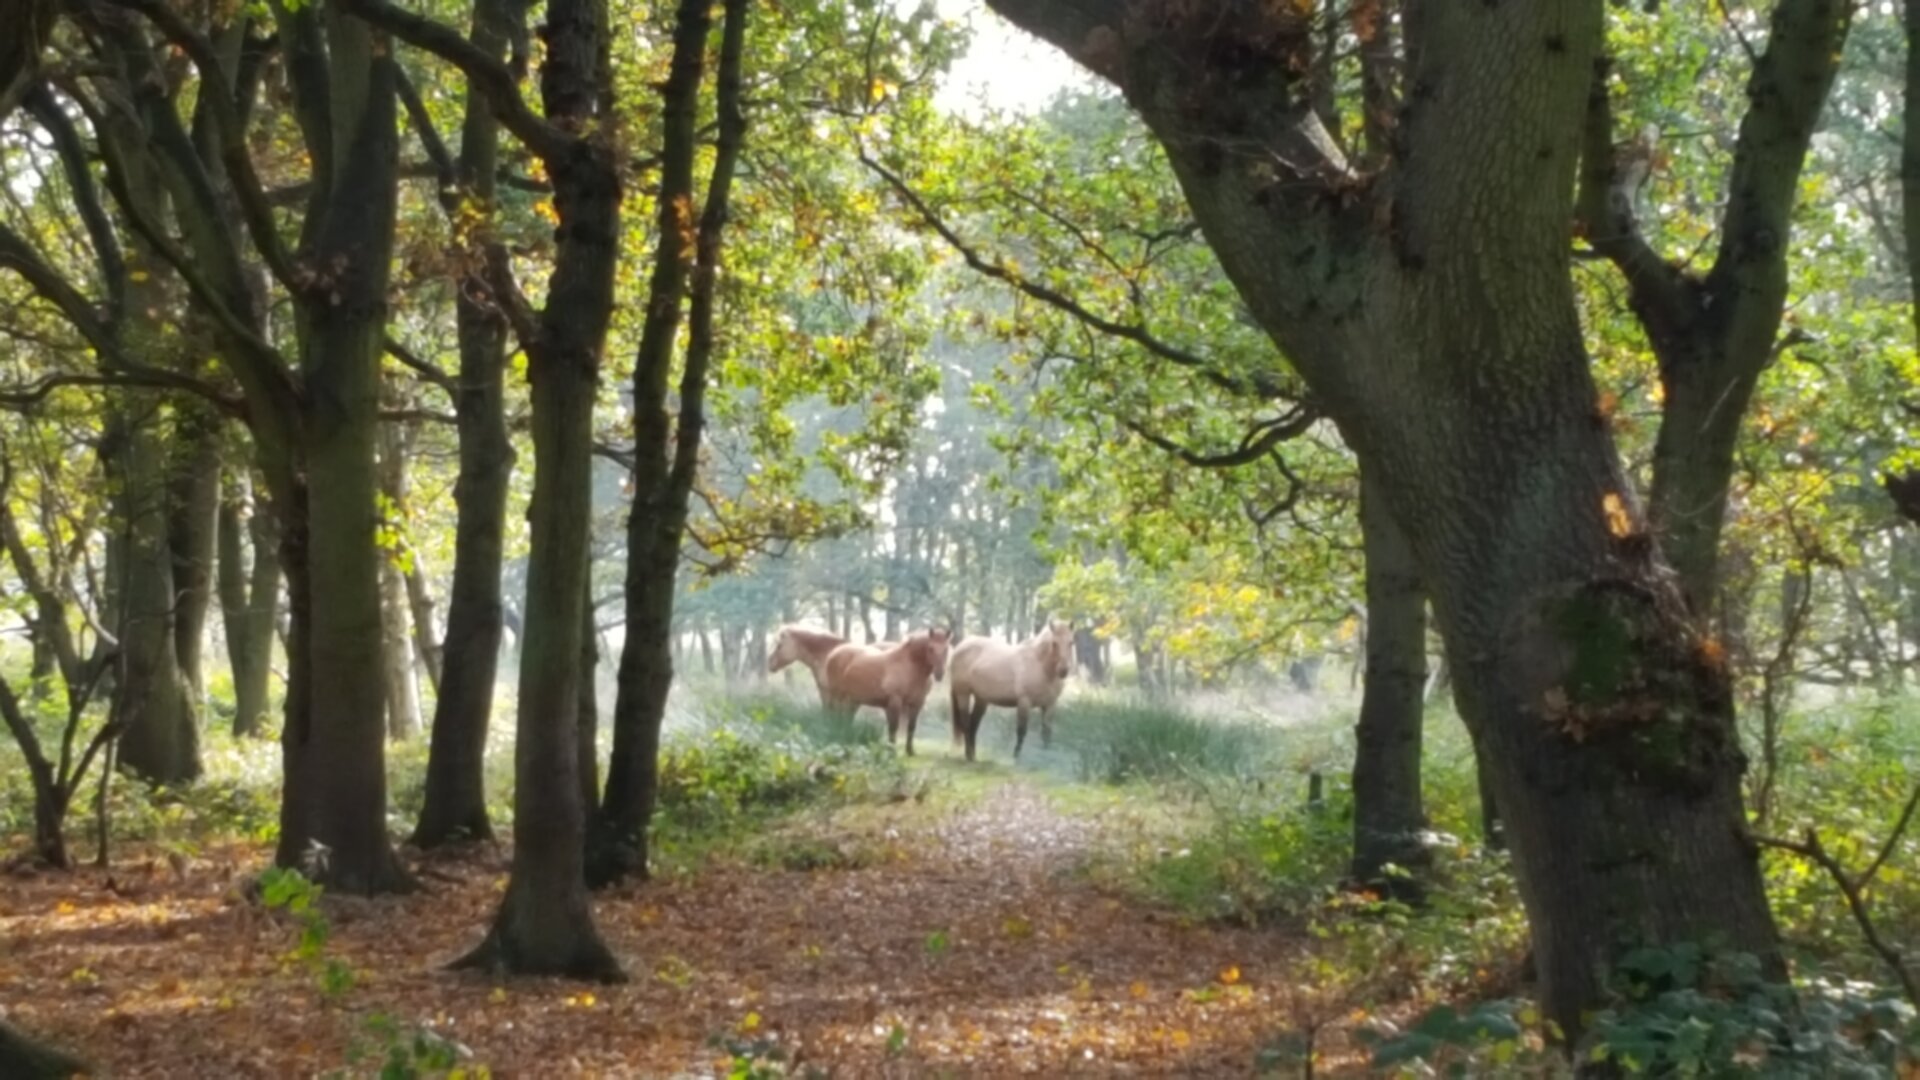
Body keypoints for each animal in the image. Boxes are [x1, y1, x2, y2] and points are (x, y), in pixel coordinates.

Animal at [817, 626, 952, 753]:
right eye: (930, 648)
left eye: (946, 649)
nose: (939, 674)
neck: (909, 667)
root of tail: (834, 653)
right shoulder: (895, 702)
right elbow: (893, 727)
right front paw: (891, 751)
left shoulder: (917, 703)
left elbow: (911, 727)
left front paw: (910, 751)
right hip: (837, 696)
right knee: (834, 715)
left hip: (853, 700)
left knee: (846, 719)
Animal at [948, 618, 1075, 760]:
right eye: (1054, 643)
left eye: (1071, 642)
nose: (1063, 670)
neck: (1041, 666)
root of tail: (960, 647)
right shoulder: (1024, 702)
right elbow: (1021, 730)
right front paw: (1016, 757)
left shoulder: (1050, 705)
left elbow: (1046, 733)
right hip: (963, 694)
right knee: (966, 722)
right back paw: (969, 755)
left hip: (981, 699)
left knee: (973, 724)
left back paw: (972, 756)